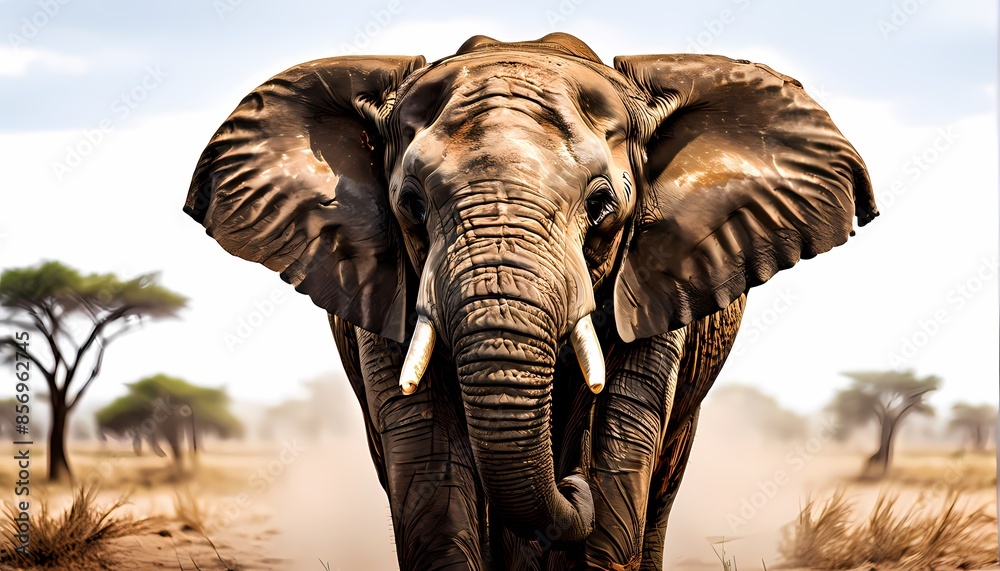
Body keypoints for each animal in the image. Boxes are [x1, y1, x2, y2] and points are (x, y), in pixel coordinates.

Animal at [184, 33, 877, 570]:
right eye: (410, 206)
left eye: (602, 206)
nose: (571, 480)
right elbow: (429, 463)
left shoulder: (655, 275)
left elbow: (623, 451)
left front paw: (593, 480)